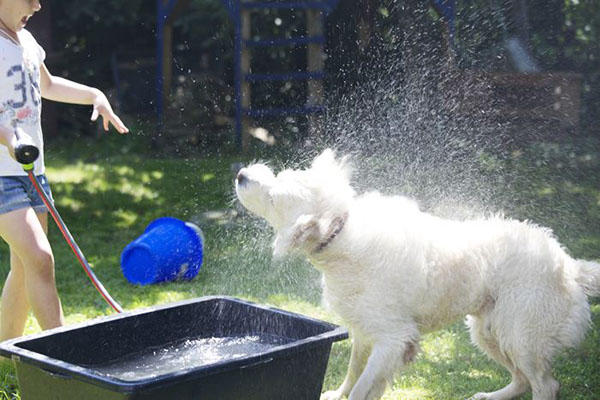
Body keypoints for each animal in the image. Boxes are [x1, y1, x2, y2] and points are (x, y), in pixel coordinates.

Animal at [236, 150, 600, 400]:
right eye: (278, 176)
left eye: (273, 197)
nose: (241, 174)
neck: (340, 234)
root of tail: (569, 264)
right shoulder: (365, 331)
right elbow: (353, 373)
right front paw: (336, 393)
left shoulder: (393, 339)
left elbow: (362, 387)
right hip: (487, 331)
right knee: (524, 380)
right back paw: (490, 396)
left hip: (520, 336)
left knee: (546, 385)